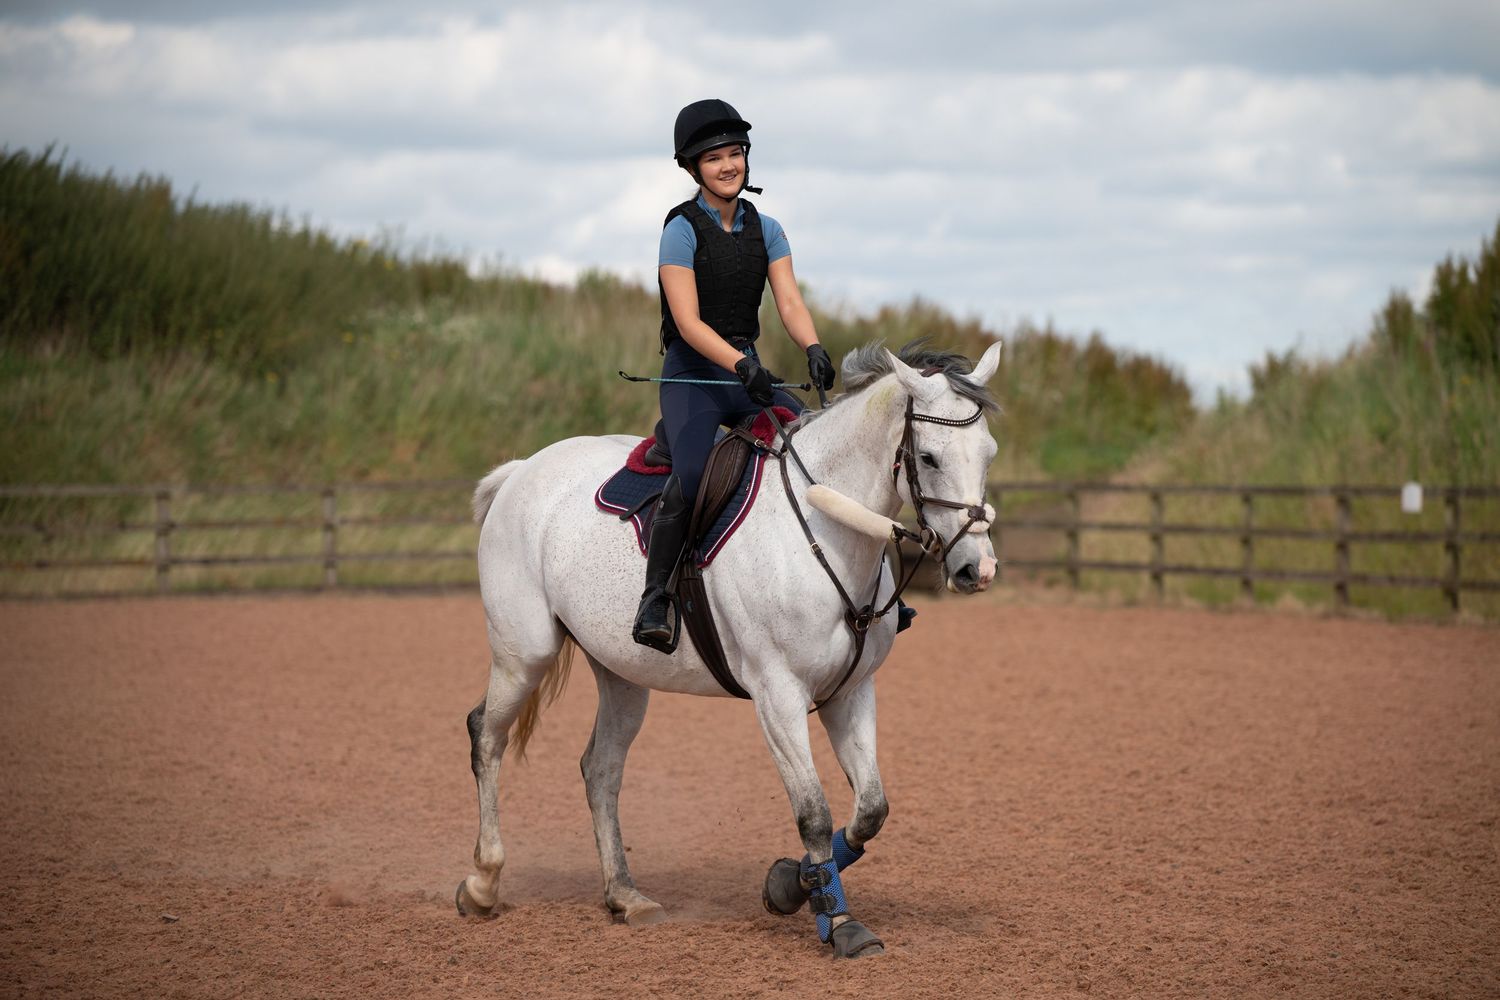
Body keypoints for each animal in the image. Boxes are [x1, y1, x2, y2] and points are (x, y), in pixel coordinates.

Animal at [457, 339, 1003, 958]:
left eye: (988, 454)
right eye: (930, 458)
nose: (977, 570)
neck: (823, 528)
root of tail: (522, 470)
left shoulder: (851, 691)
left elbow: (870, 811)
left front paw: (790, 884)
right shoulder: (777, 695)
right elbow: (814, 814)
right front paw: (837, 922)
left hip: (621, 673)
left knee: (600, 768)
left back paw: (626, 896)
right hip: (522, 655)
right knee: (487, 736)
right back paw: (482, 883)